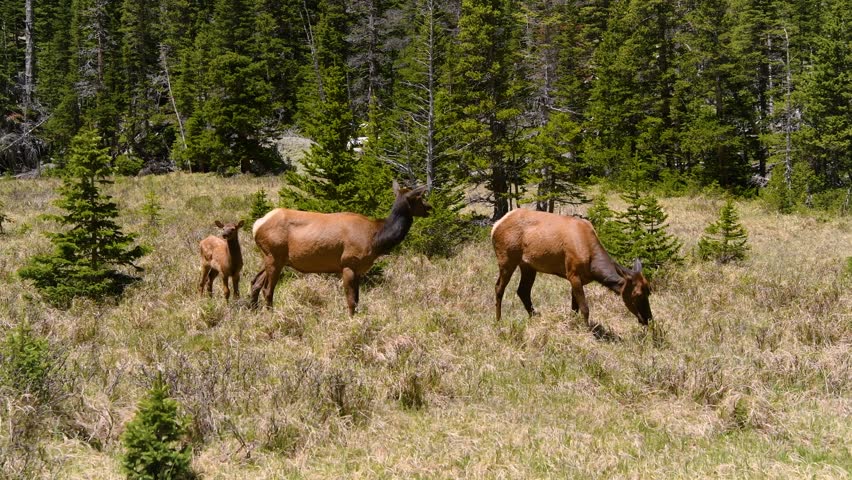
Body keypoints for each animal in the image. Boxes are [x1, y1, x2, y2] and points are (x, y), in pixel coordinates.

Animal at [249, 181, 431, 314]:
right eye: (419, 197)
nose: (430, 207)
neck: (376, 239)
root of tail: (257, 225)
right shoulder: (348, 263)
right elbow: (351, 301)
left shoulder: (359, 269)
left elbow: (357, 299)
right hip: (274, 255)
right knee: (267, 289)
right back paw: (271, 316)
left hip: (272, 257)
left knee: (255, 282)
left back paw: (253, 311)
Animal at [491, 208, 652, 328]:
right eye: (637, 294)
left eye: (649, 291)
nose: (648, 319)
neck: (593, 267)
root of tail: (495, 226)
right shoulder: (572, 274)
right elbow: (585, 308)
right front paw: (587, 331)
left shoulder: (580, 279)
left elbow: (575, 308)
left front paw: (573, 325)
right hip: (507, 259)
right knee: (499, 287)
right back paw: (498, 321)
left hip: (528, 266)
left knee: (523, 291)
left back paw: (534, 317)